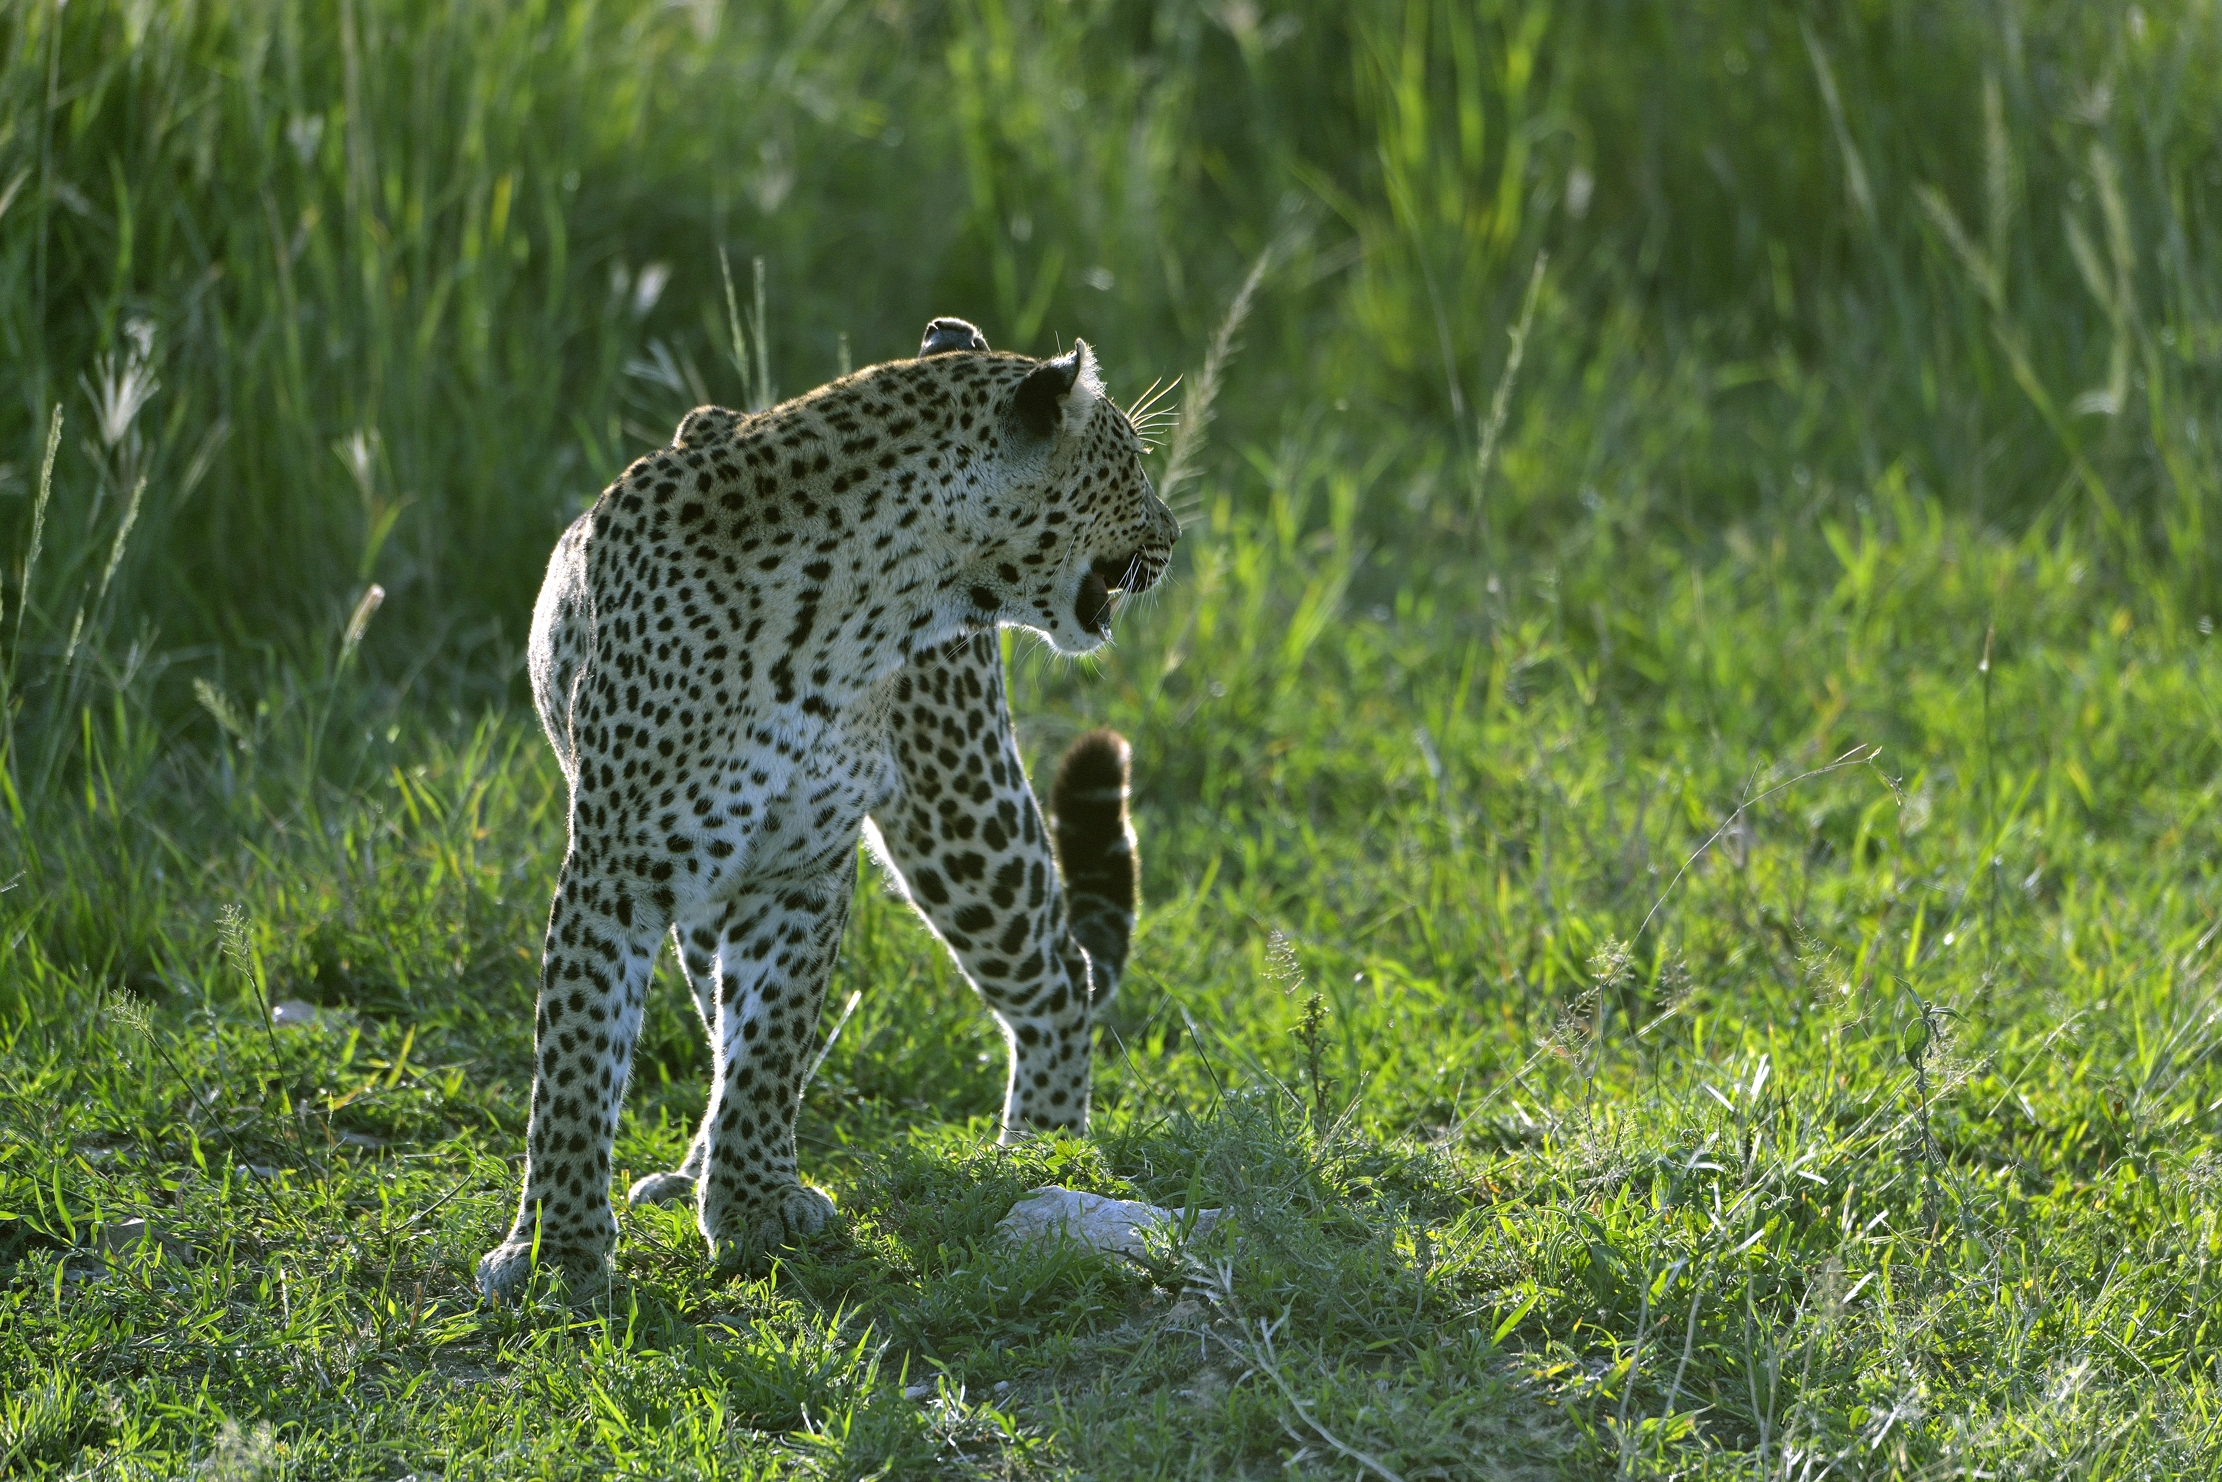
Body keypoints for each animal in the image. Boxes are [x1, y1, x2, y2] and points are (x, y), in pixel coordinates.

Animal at [476, 315, 1179, 1300]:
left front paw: (755, 1207)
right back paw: (692, 1171)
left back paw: (1041, 1153)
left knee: (1059, 972)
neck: (850, 608)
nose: (1175, 533)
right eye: (1130, 466)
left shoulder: (800, 867)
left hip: (957, 810)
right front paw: (558, 1251)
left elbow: (770, 1042)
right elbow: (578, 1061)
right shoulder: (617, 866)